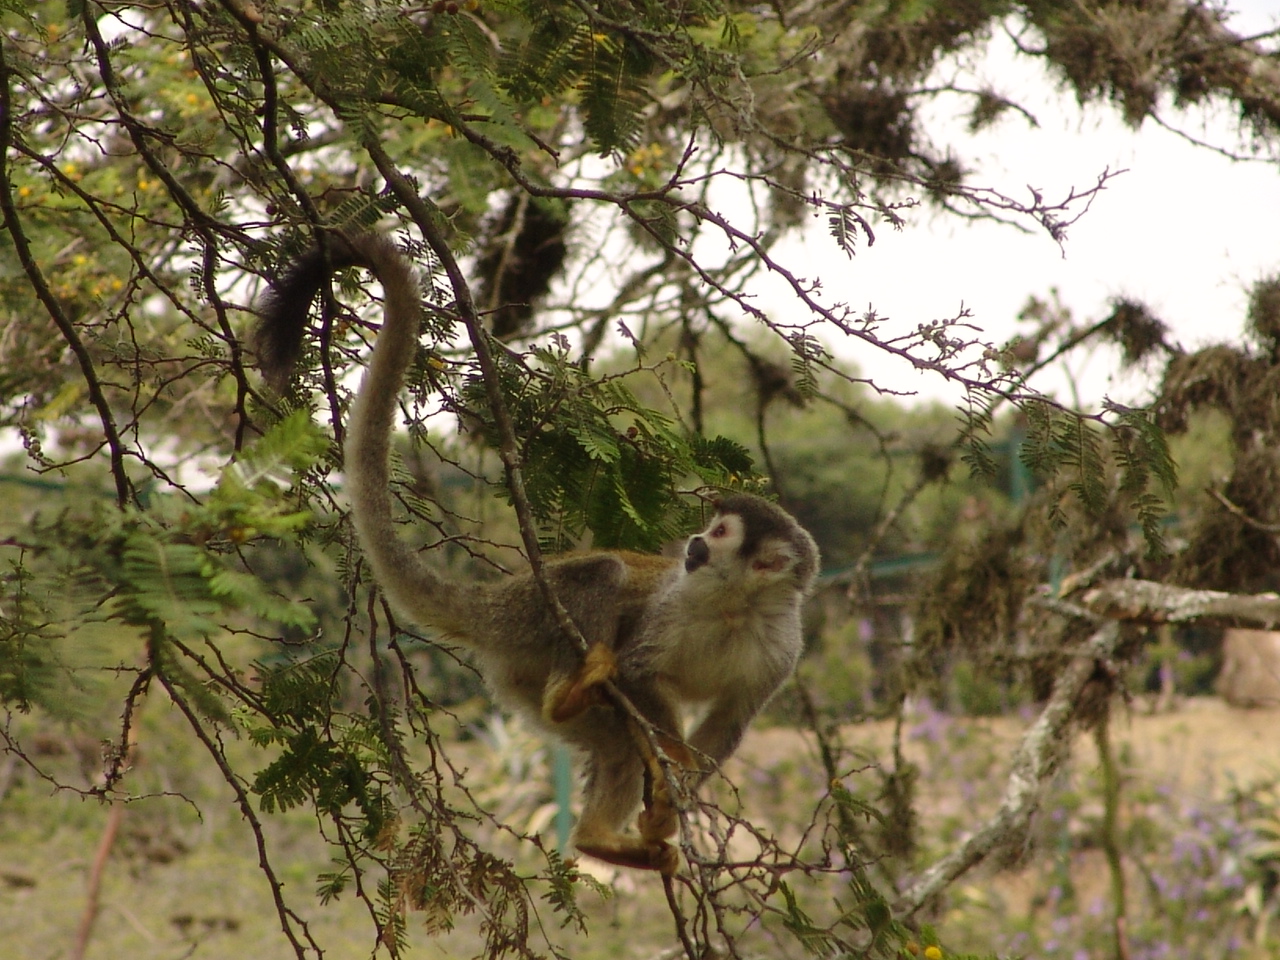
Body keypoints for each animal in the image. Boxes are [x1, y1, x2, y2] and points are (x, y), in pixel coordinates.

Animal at [254, 232, 820, 873]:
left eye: (722, 535)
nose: (696, 546)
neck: (733, 606)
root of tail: (494, 601)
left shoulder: (782, 648)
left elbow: (730, 722)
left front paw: (677, 794)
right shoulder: (678, 603)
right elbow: (640, 673)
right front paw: (673, 761)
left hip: (519, 669)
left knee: (614, 737)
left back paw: (600, 838)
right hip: (532, 615)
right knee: (604, 578)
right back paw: (566, 700)